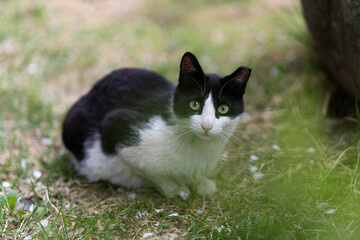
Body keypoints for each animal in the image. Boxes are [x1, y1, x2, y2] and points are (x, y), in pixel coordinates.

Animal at [62, 52, 252, 199]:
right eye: (194, 104)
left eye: (223, 108)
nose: (207, 126)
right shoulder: (115, 124)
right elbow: (154, 173)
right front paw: (175, 189)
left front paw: (201, 183)